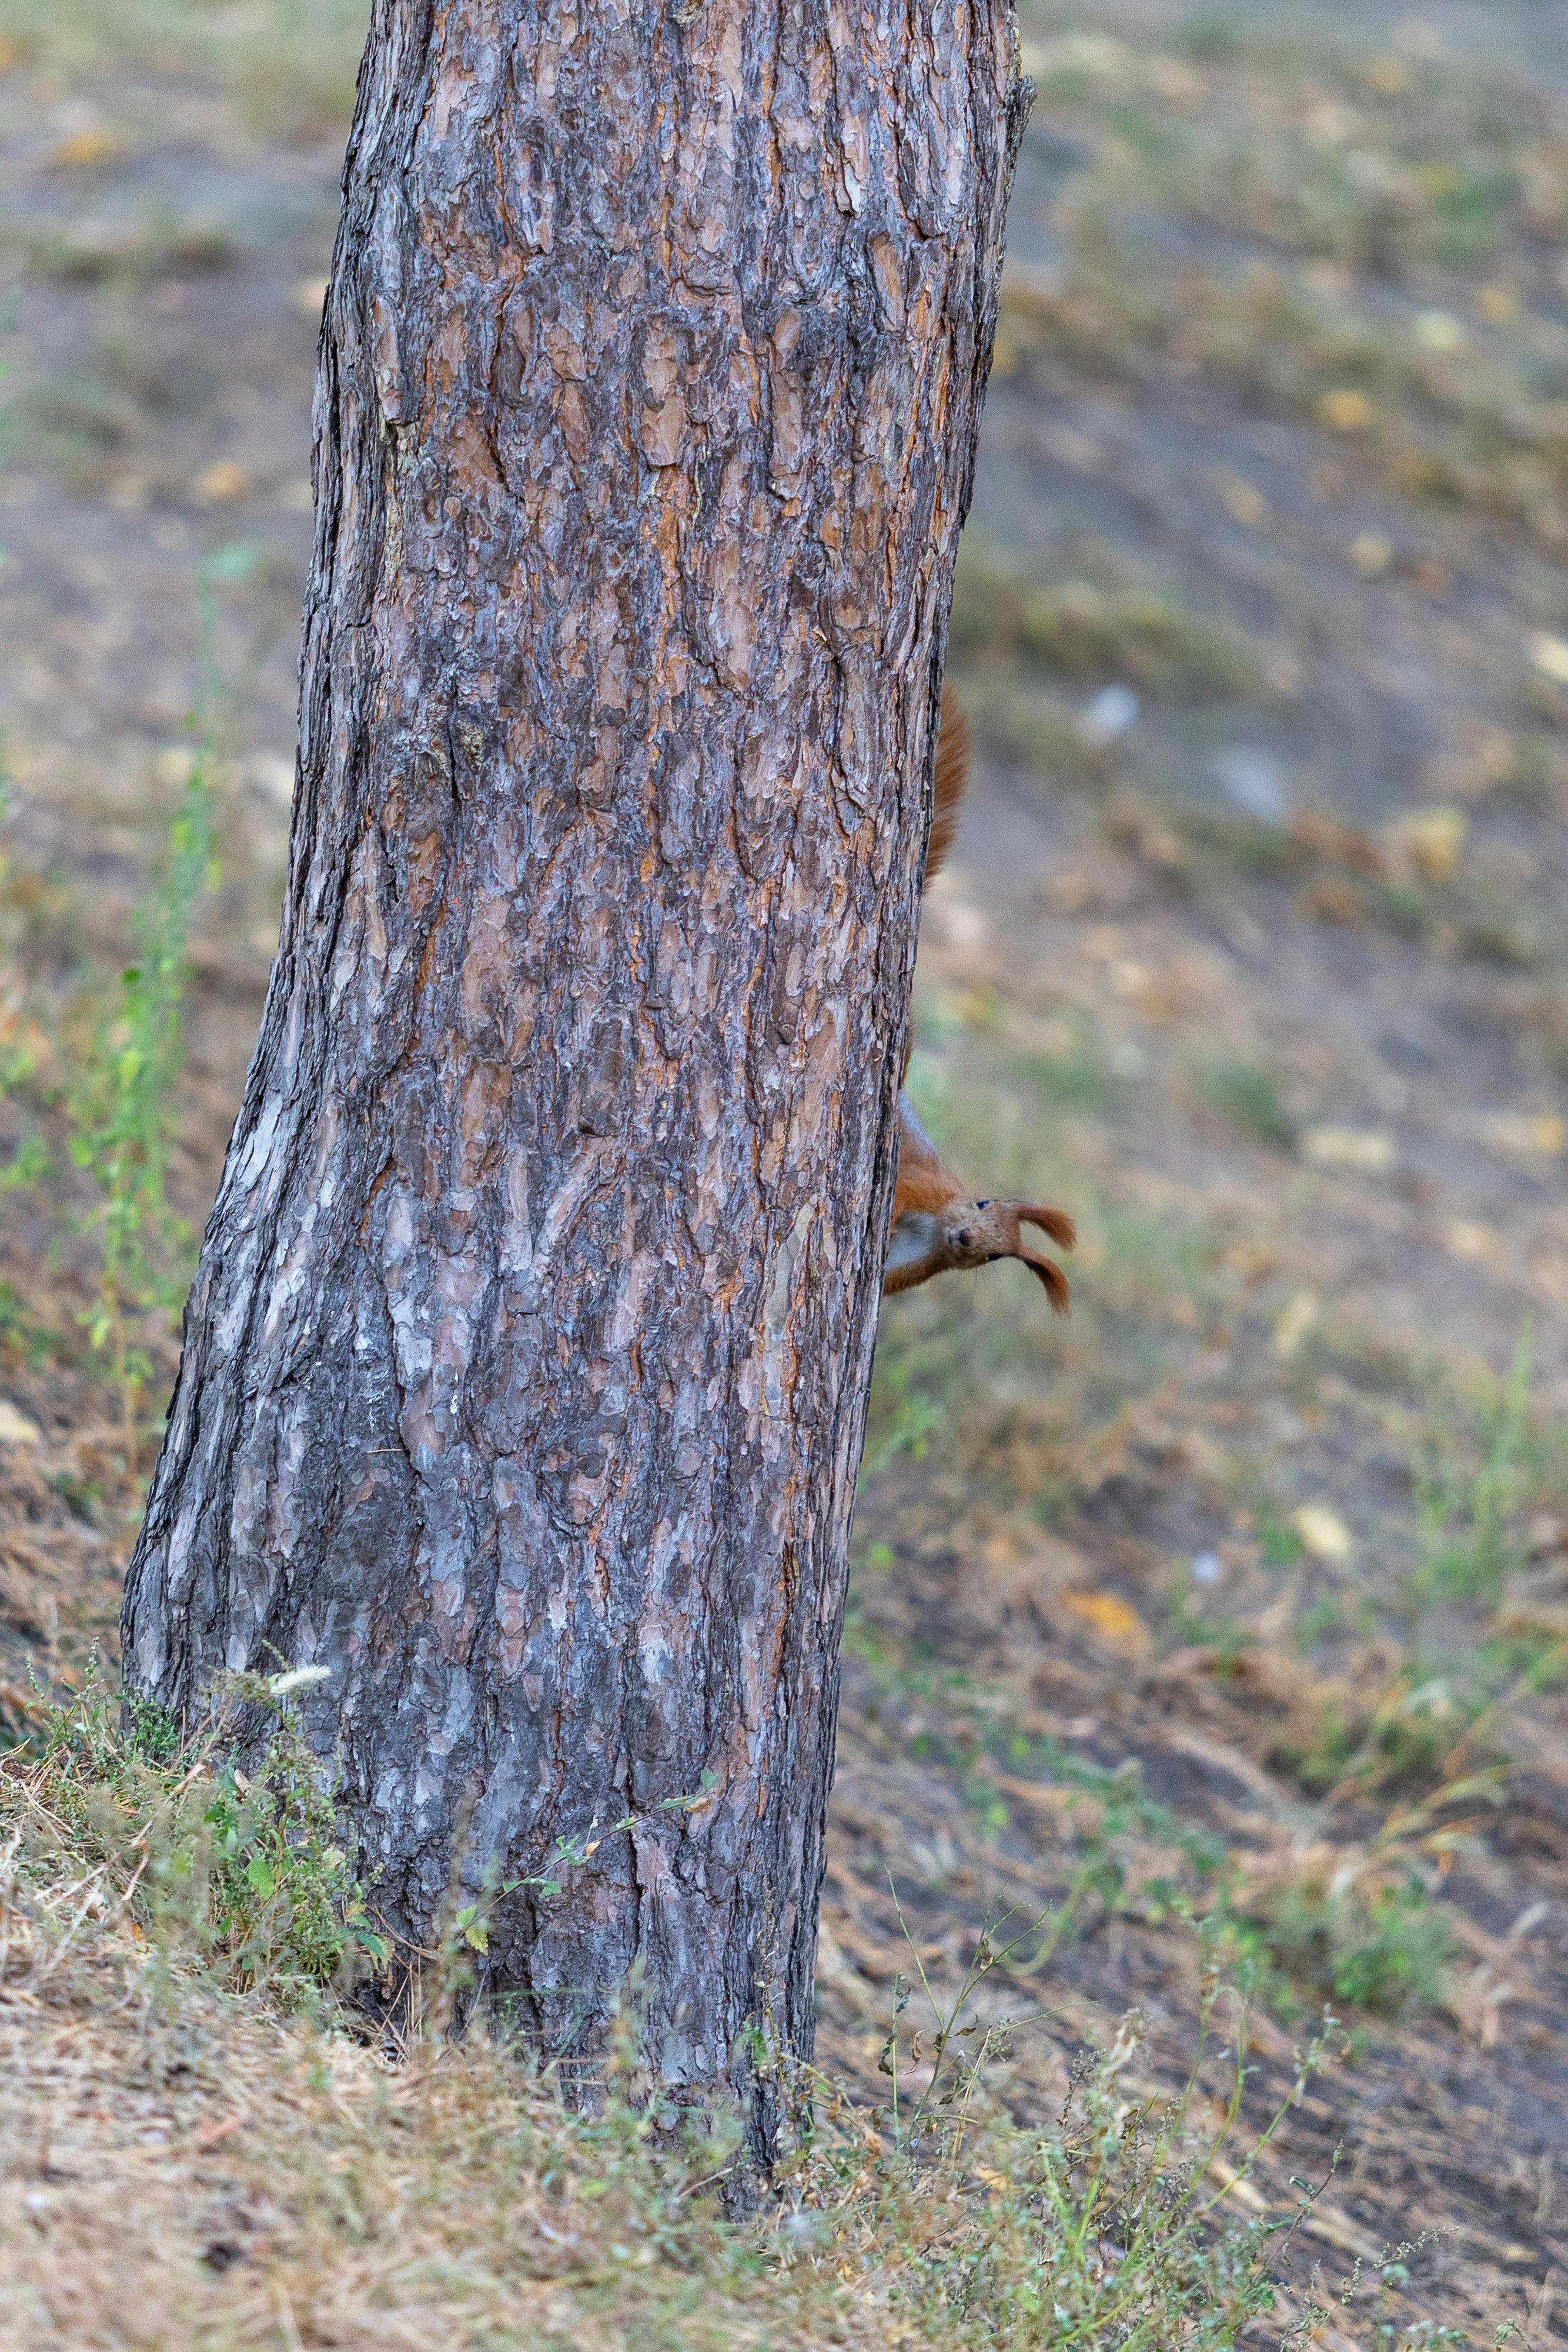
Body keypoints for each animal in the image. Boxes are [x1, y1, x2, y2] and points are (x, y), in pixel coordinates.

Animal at [882, 687, 1076, 1311]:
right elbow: (900, 1189)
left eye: (996, 1257)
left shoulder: (913, 1267)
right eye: (983, 1201)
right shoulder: (921, 1187)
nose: (965, 1236)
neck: (931, 1228)